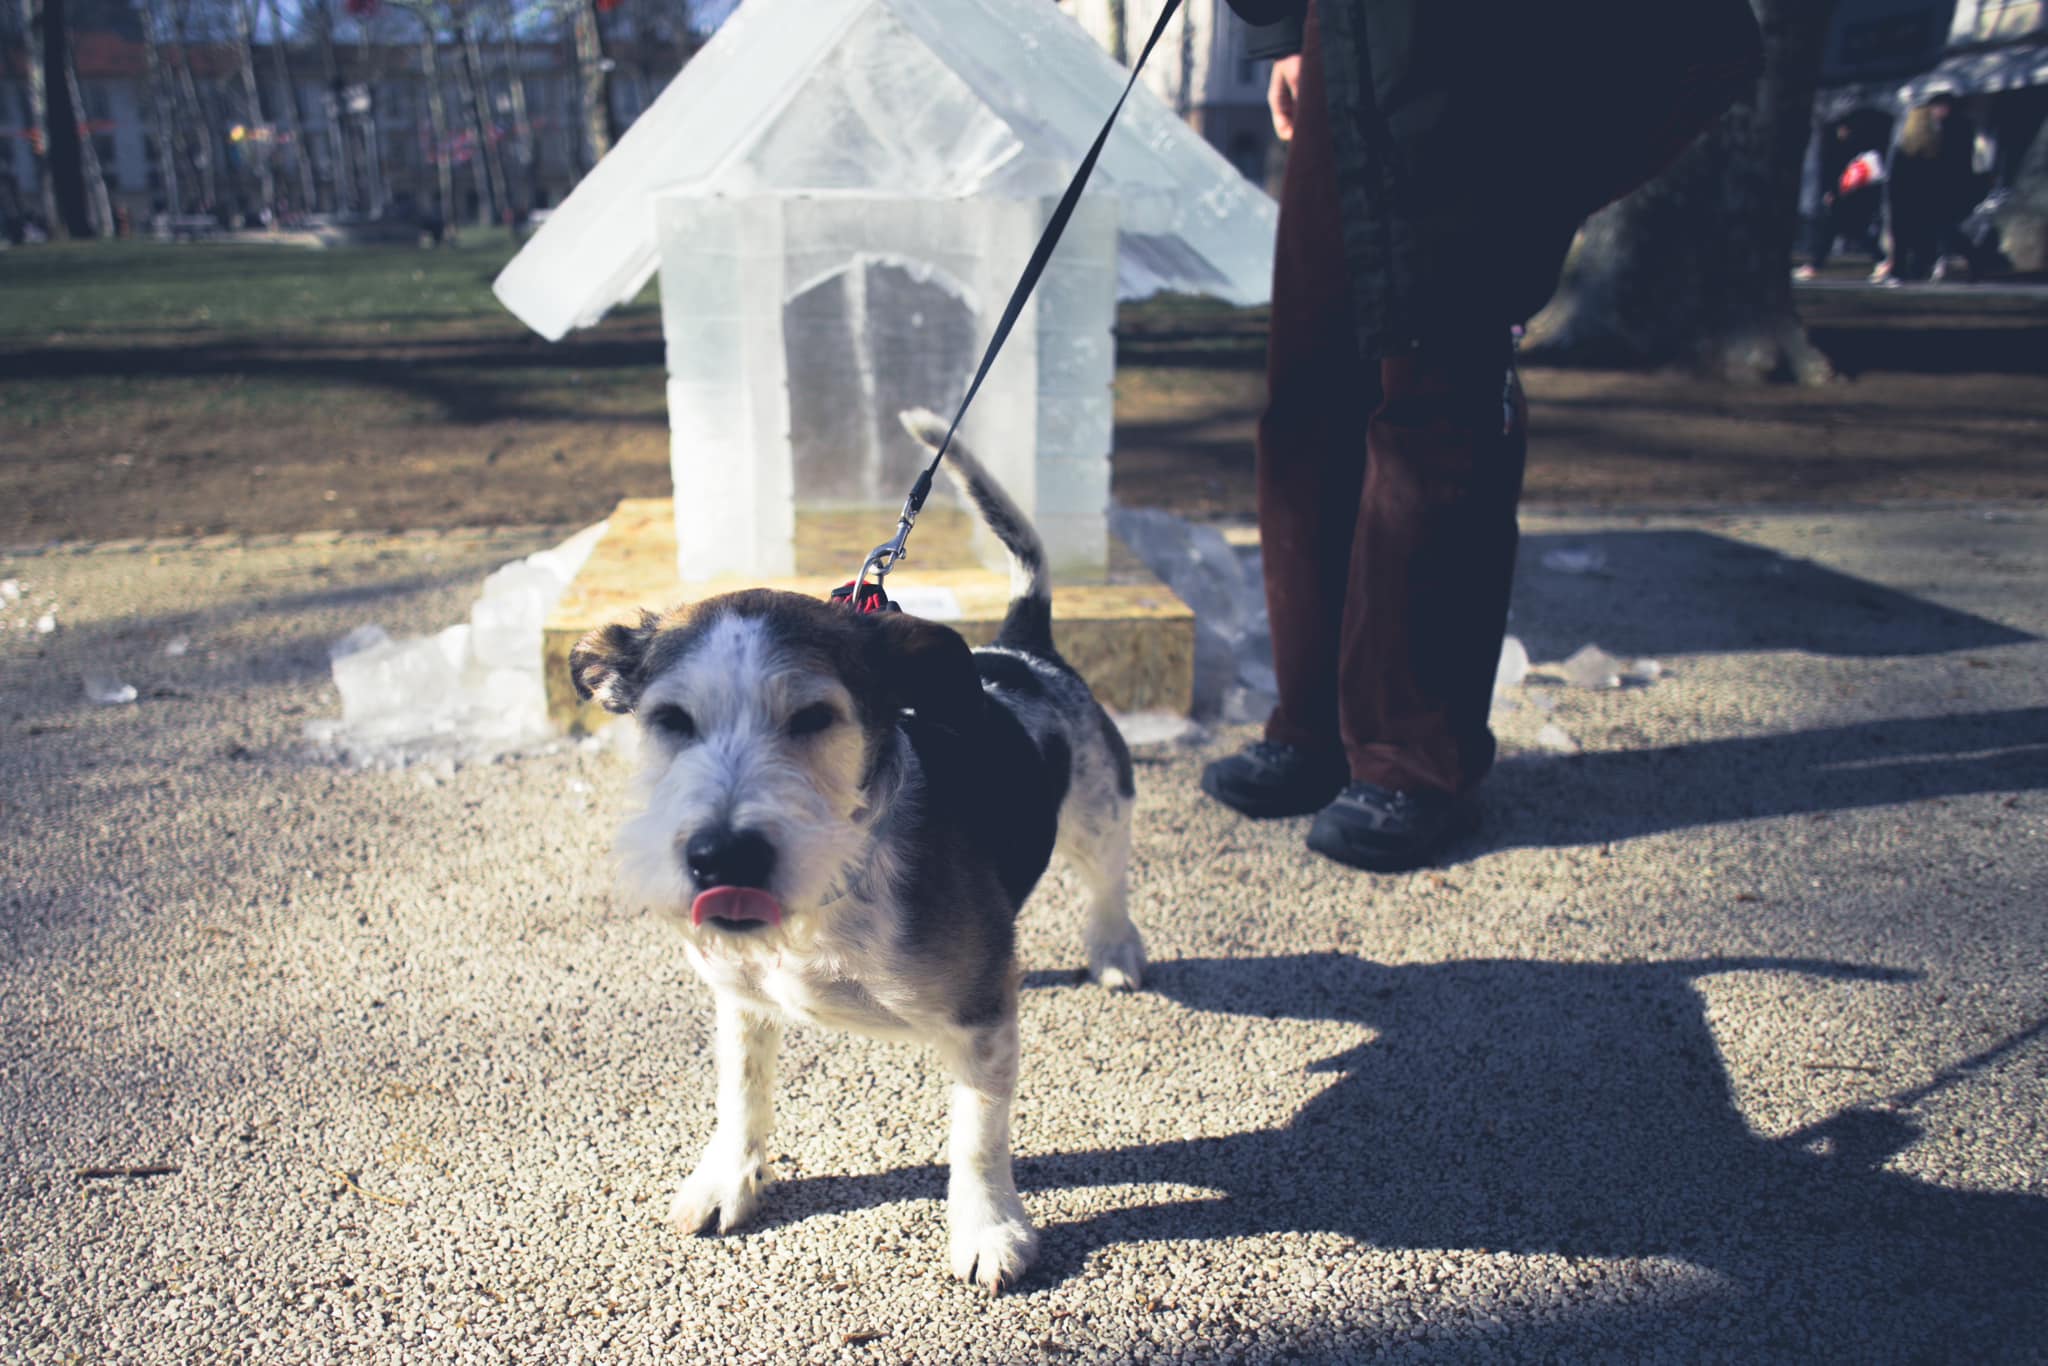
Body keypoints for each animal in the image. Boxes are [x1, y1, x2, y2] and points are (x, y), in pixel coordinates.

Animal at [569, 405, 1146, 1294]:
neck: (832, 892)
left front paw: (990, 1229)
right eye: (670, 721)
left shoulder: (982, 1021)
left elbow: (978, 1137)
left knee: (1108, 882)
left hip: (1098, 810)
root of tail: (1023, 648)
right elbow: (741, 1094)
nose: (721, 859)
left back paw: (1115, 950)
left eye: (813, 717)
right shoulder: (740, 1001)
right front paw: (727, 1179)